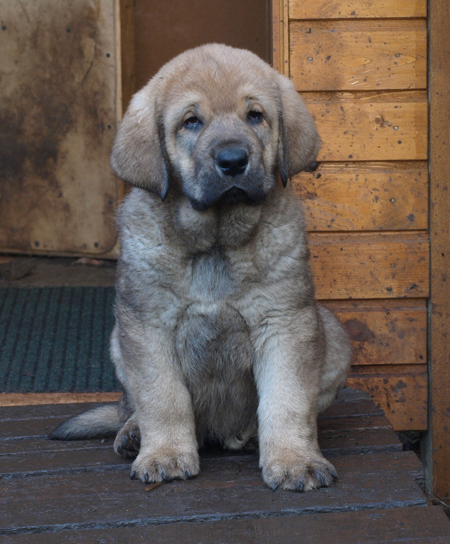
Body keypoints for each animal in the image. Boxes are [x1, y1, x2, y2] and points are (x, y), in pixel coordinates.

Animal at [50, 44, 352, 490]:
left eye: (255, 115)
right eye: (191, 122)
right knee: (130, 406)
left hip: (331, 331)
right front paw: (165, 454)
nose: (233, 160)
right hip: (118, 340)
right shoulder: (147, 326)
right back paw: (133, 433)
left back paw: (249, 436)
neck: (215, 244)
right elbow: (162, 398)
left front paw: (294, 460)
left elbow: (288, 401)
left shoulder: (285, 323)